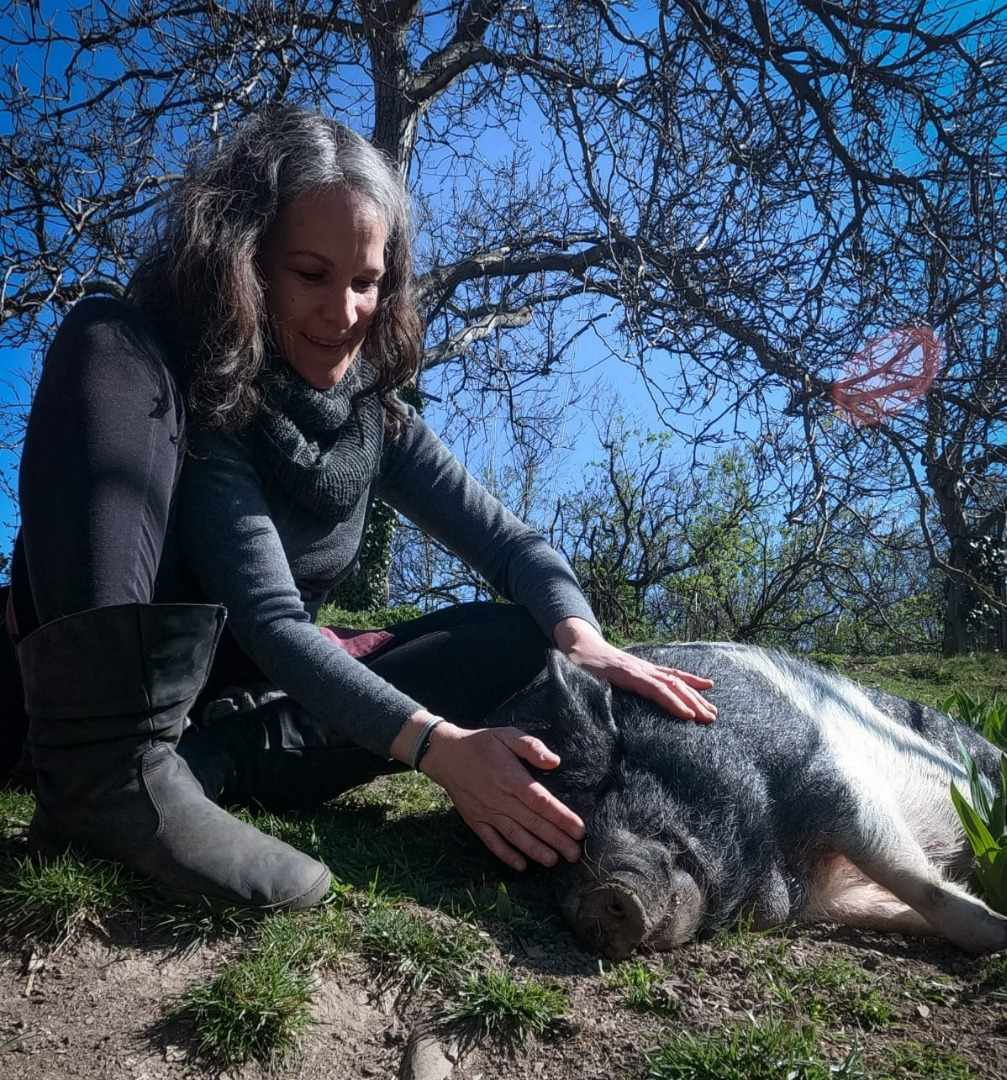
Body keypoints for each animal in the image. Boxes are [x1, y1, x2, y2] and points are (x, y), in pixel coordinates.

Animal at [487, 641, 1007, 959]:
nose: (597, 901)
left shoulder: (825, 771)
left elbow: (907, 874)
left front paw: (998, 929)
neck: (773, 858)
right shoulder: (826, 899)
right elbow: (897, 904)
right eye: (543, 867)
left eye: (608, 783)